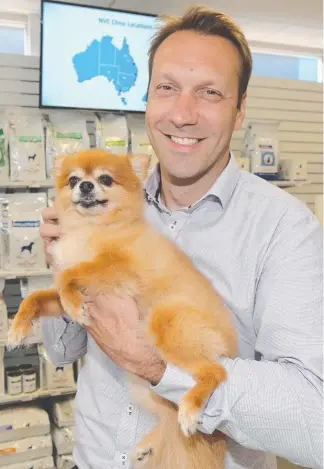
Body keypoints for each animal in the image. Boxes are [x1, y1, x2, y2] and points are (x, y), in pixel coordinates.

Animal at [8, 148, 235, 466]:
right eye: (73, 179)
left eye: (105, 179)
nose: (85, 186)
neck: (90, 228)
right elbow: (36, 297)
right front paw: (17, 329)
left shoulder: (118, 268)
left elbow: (69, 275)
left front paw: (74, 304)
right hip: (145, 389)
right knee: (168, 418)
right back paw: (147, 445)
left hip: (166, 321)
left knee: (216, 372)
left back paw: (191, 408)